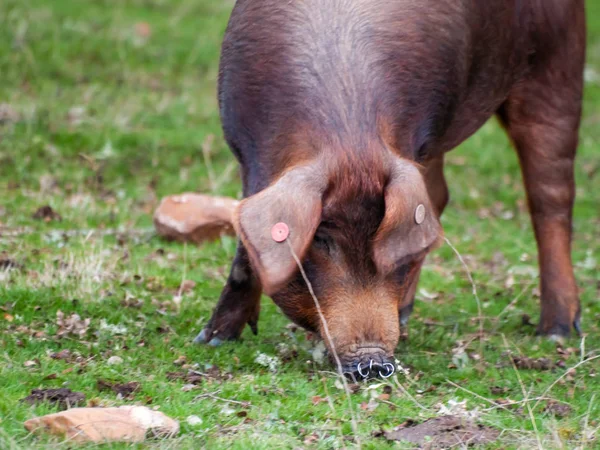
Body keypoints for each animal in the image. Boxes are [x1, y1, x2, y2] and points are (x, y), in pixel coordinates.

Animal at [196, 0, 584, 380]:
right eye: (320, 238)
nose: (373, 363)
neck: (348, 135)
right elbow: (246, 254)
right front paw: (211, 340)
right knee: (439, 195)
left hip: (556, 64)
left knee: (551, 195)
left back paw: (556, 331)